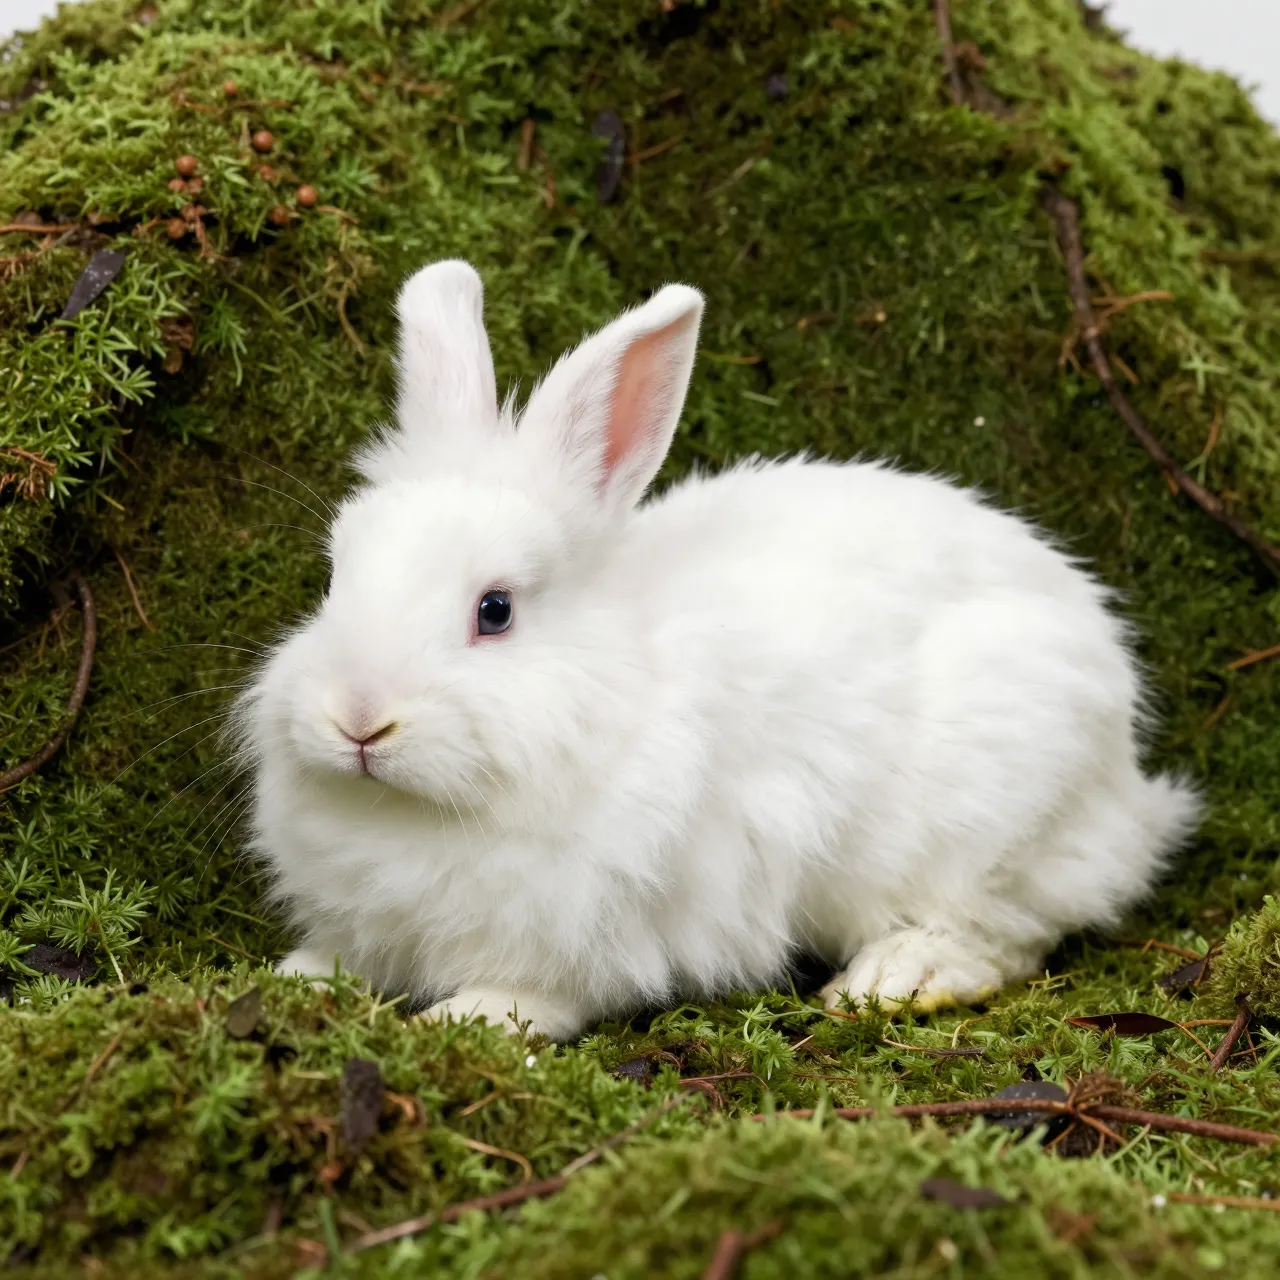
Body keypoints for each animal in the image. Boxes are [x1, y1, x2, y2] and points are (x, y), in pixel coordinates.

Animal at [239, 258, 1199, 1041]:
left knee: (1012, 930)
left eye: (496, 610)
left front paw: (465, 1018)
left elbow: (541, 993)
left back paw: (897, 976)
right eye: (335, 576)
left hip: (987, 825)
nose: (358, 720)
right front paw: (294, 978)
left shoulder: (599, 927)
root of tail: (1126, 779)